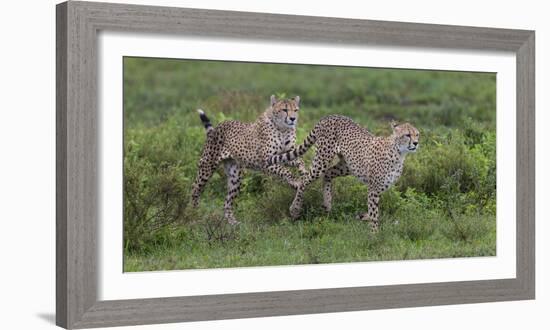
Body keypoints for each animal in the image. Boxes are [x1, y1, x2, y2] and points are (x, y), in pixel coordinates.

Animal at [193, 95, 308, 224]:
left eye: (296, 110)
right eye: (285, 110)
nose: (293, 118)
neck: (283, 129)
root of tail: (219, 125)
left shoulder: (286, 155)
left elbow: (300, 161)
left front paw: (304, 173)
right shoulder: (266, 162)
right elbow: (285, 171)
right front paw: (296, 181)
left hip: (235, 177)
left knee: (227, 202)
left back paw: (232, 222)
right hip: (207, 167)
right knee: (195, 189)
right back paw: (194, 213)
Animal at [270, 116, 420, 232]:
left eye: (417, 134)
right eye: (407, 135)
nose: (416, 143)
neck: (399, 153)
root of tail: (330, 116)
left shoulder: (380, 188)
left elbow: (374, 210)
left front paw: (364, 217)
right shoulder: (373, 188)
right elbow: (374, 213)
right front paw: (374, 234)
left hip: (347, 165)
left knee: (328, 174)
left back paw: (327, 203)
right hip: (322, 160)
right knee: (304, 180)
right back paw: (295, 208)